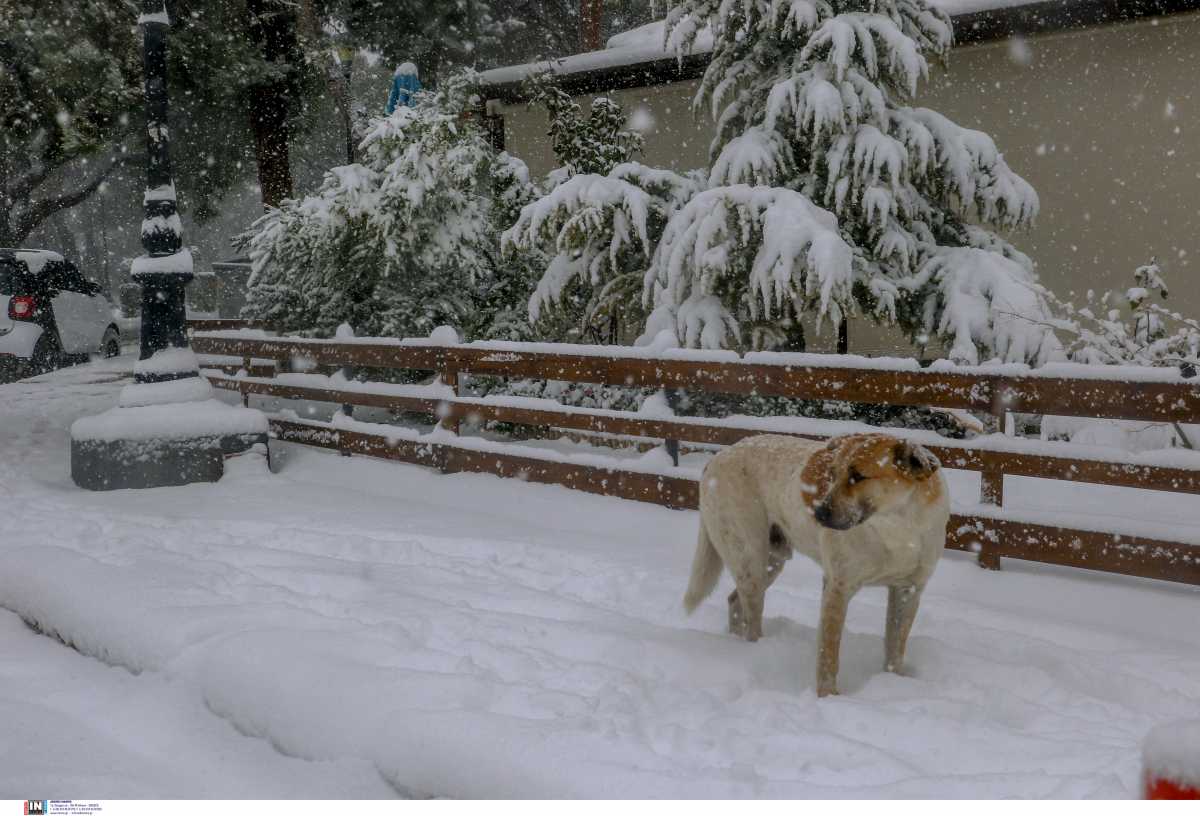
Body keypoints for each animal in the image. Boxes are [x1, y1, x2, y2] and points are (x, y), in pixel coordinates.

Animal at [686, 434, 945, 696]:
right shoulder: (837, 588)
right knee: (752, 620)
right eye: (832, 473)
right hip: (751, 562)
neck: (897, 527)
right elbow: (829, 654)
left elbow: (895, 646)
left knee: (734, 601)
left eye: (858, 476)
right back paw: (755, 649)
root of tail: (719, 456)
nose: (818, 514)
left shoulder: (908, 590)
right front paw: (829, 697)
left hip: (771, 562)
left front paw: (893, 681)